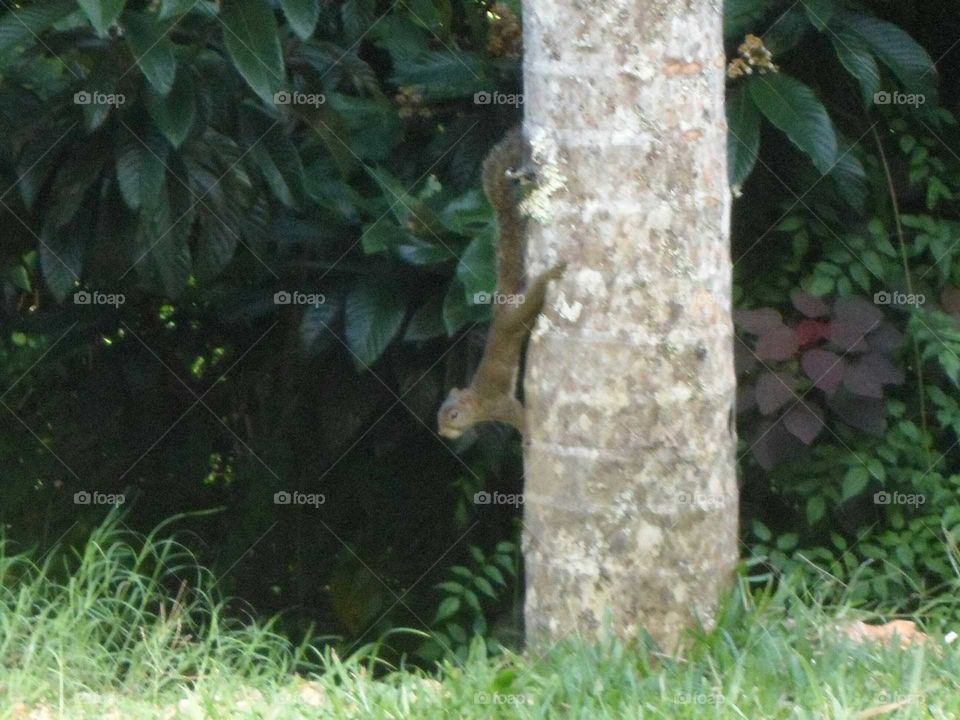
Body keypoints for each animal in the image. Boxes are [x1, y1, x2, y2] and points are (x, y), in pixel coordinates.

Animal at [437, 127, 566, 439]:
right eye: (438, 417)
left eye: (453, 416)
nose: (443, 434)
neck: (476, 402)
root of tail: (500, 306)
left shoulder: (498, 405)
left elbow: (519, 415)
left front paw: (527, 437)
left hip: (513, 318)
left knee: (531, 302)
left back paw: (549, 276)